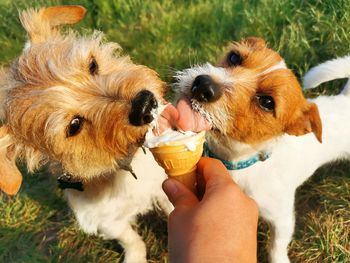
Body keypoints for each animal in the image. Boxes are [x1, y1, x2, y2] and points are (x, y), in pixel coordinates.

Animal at [0, 5, 172, 262]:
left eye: (92, 64)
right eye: (74, 125)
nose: (144, 104)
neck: (125, 167)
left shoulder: (162, 185)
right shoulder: (107, 222)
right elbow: (131, 240)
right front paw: (136, 257)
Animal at [176, 37, 348, 263]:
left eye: (267, 102)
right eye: (234, 57)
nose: (203, 85)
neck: (240, 163)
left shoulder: (282, 219)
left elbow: (276, 246)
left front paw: (279, 260)